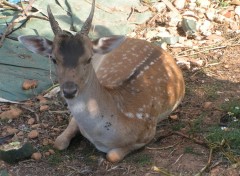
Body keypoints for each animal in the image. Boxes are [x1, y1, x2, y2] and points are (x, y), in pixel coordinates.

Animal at [17, 0, 185, 162]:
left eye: (88, 58)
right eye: (53, 59)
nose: (70, 90)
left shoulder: (147, 133)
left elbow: (113, 156)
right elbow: (59, 142)